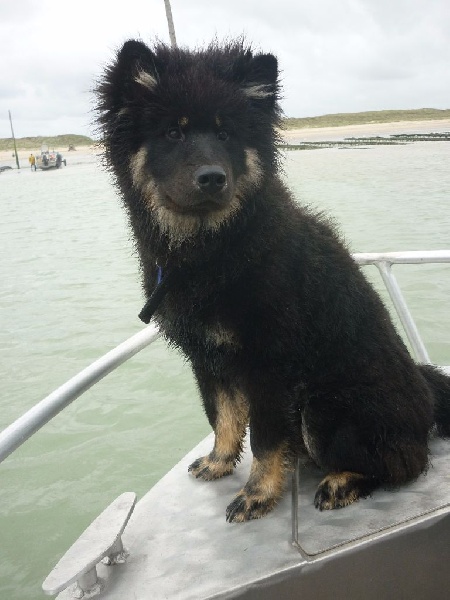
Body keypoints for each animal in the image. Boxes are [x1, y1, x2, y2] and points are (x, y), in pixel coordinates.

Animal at [95, 39, 450, 522]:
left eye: (226, 135)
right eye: (173, 133)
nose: (213, 178)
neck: (214, 249)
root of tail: (427, 397)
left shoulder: (269, 363)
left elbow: (264, 440)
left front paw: (258, 494)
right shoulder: (208, 356)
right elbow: (222, 416)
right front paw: (219, 462)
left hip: (324, 406)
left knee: (404, 461)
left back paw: (342, 482)